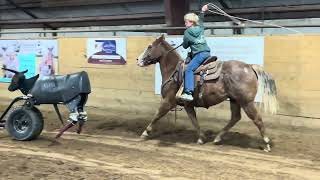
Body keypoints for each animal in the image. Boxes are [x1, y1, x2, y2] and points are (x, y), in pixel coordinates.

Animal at [135, 34, 278, 151]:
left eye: (150, 46)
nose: (138, 60)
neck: (173, 70)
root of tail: (250, 66)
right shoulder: (188, 105)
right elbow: (194, 120)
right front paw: (201, 138)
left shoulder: (169, 101)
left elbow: (157, 115)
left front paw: (145, 133)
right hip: (234, 100)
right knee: (235, 117)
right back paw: (217, 138)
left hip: (246, 102)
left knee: (257, 119)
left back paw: (266, 144)